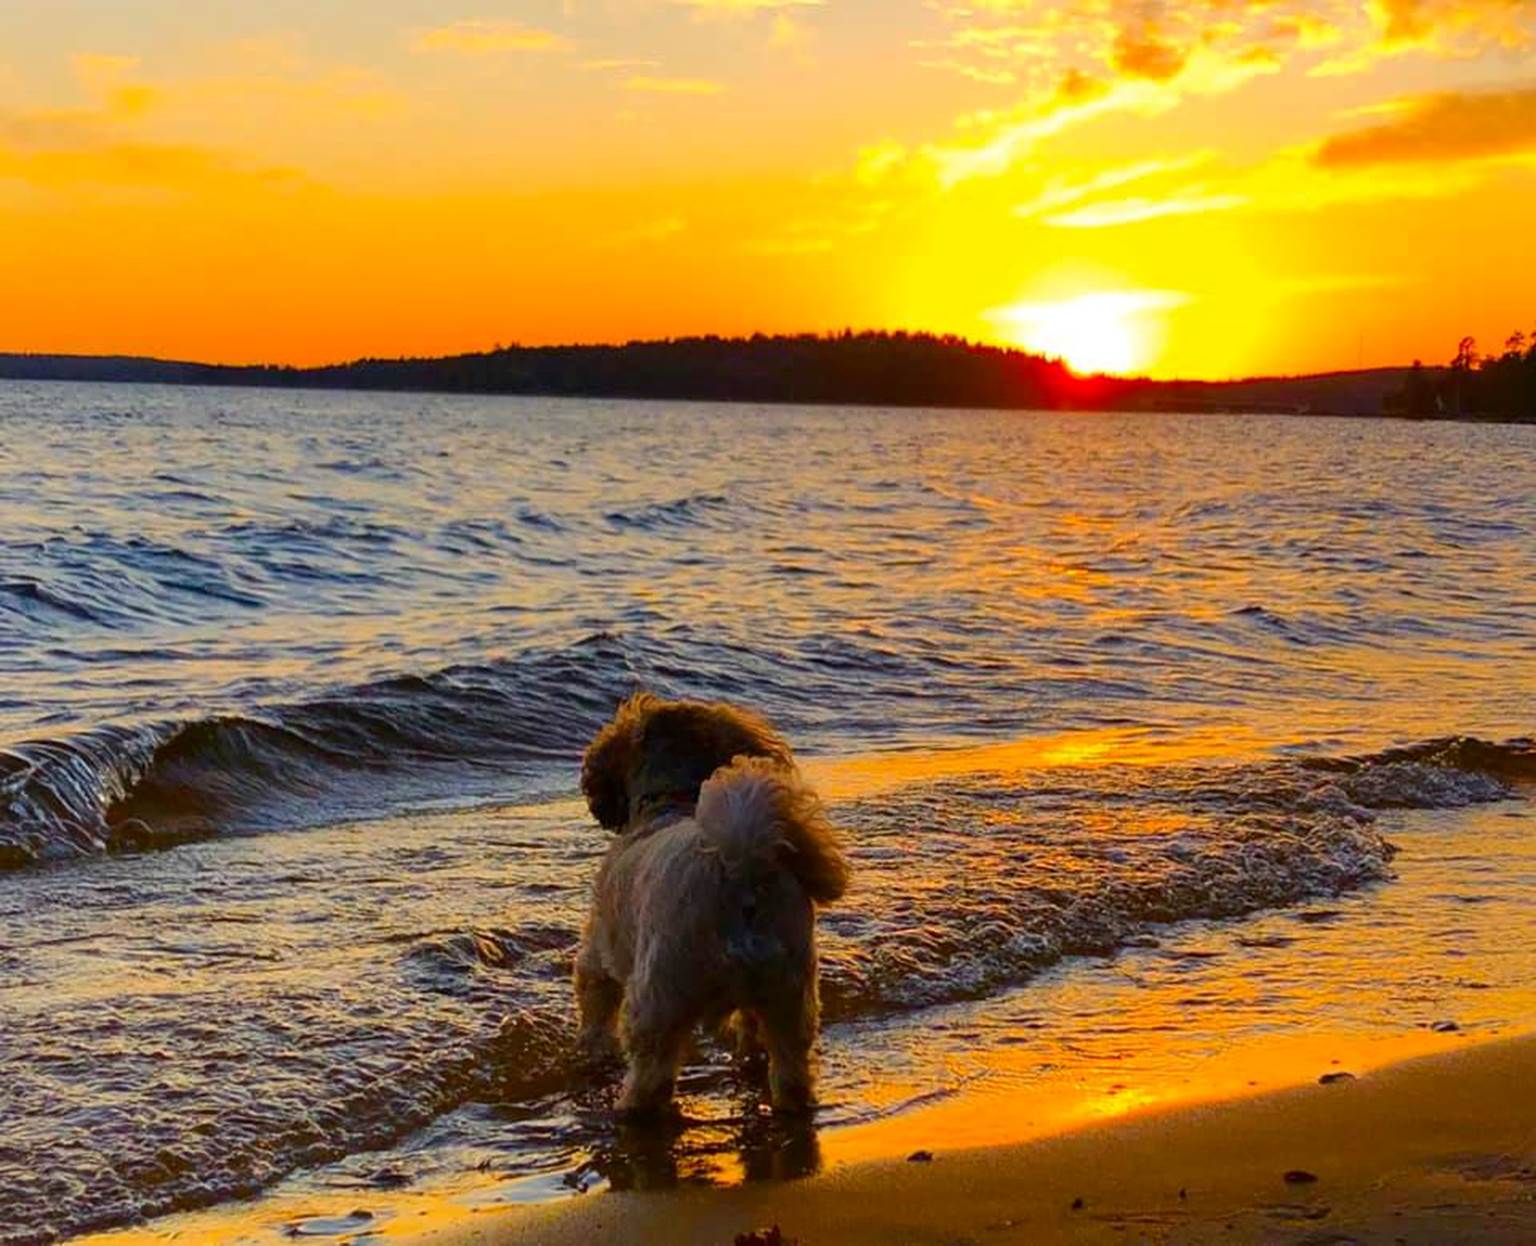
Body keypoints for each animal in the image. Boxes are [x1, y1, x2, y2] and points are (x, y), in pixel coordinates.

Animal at [574, 691, 847, 1118]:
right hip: (789, 992)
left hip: (659, 995)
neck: (671, 803)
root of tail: (739, 865)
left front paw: (592, 1050)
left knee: (652, 1075)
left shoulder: (598, 950)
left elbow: (595, 1004)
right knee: (790, 1068)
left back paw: (630, 1109)